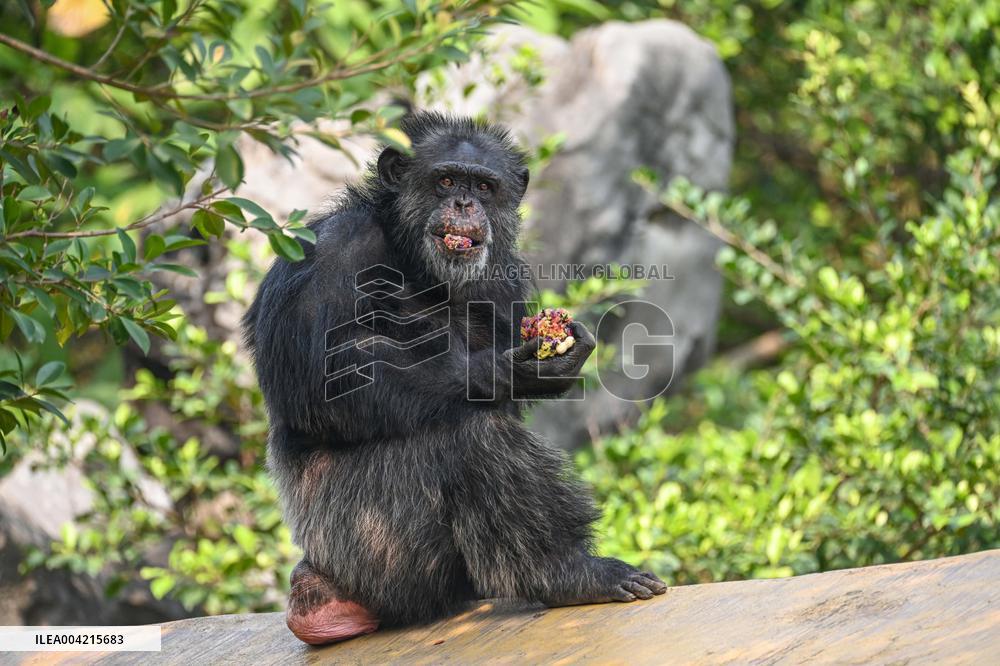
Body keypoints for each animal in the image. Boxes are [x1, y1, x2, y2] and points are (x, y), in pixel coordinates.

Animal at [242, 111, 666, 645]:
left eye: (483, 186)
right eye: (445, 180)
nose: (464, 203)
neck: (412, 259)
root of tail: (324, 581)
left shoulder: (506, 275)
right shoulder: (328, 252)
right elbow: (323, 382)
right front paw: (506, 370)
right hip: (368, 544)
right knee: (471, 436)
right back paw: (572, 573)